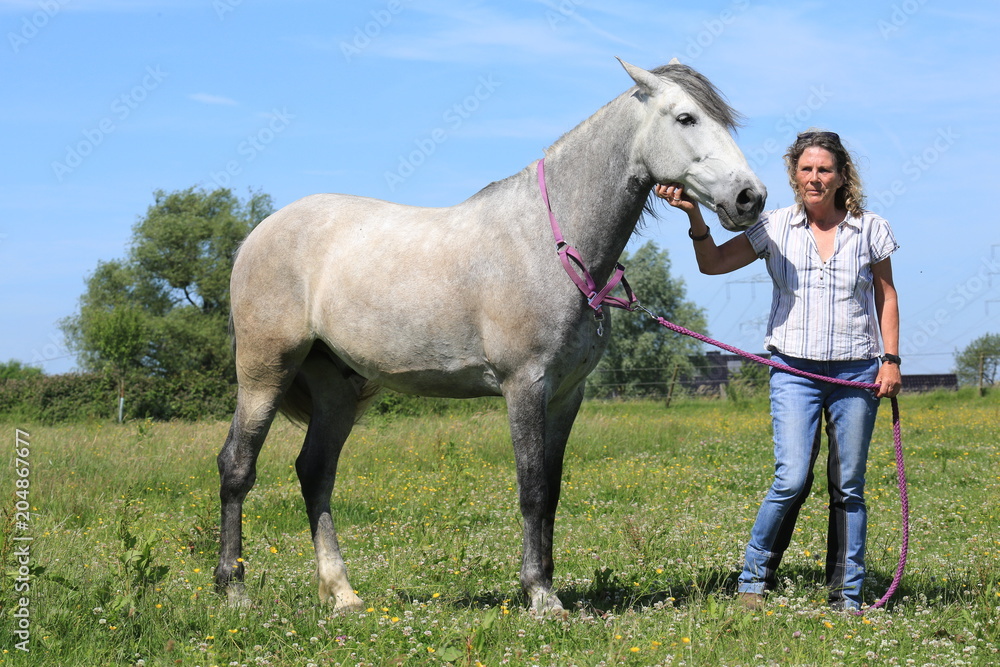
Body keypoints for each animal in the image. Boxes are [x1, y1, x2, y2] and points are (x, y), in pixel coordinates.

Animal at [215, 58, 766, 615]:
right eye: (686, 117)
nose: (750, 197)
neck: (548, 242)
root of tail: (257, 235)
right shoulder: (523, 385)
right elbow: (531, 488)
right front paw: (540, 594)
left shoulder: (566, 395)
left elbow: (552, 489)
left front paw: (548, 582)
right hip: (265, 372)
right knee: (238, 466)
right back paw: (233, 588)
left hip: (337, 389)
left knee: (315, 472)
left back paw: (342, 593)